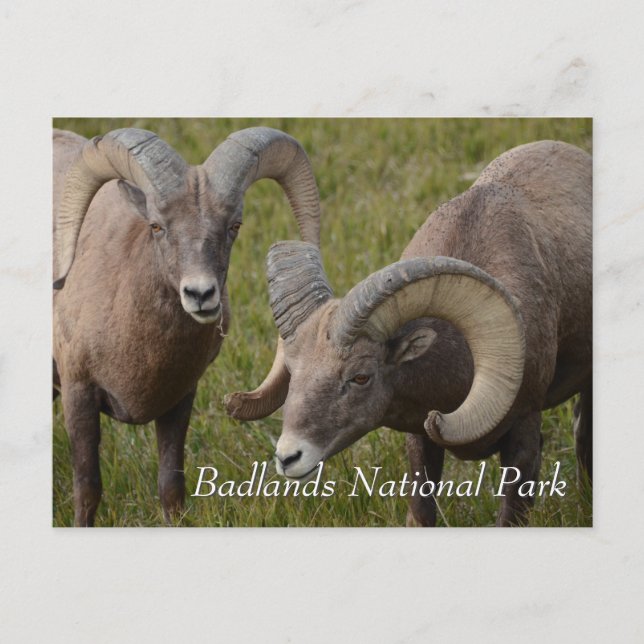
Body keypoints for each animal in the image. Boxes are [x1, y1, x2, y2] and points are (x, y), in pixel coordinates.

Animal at [53, 125, 321, 526]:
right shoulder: (78, 394)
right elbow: (87, 491)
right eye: (156, 226)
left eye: (233, 226)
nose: (200, 294)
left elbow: (171, 487)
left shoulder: (178, 401)